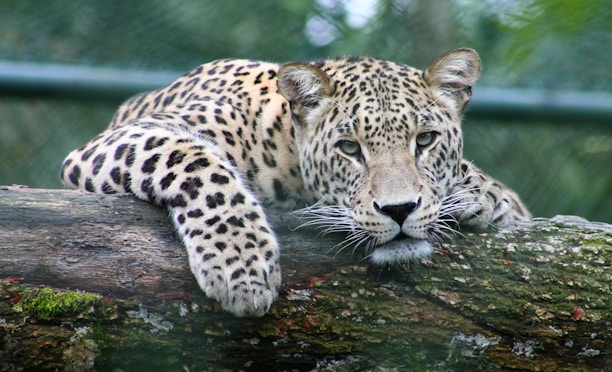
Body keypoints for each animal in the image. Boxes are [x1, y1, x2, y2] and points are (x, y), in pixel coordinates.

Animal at [61, 48, 532, 316]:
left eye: (426, 140)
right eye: (349, 148)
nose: (399, 210)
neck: (283, 146)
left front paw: (483, 194)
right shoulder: (117, 141)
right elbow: (196, 161)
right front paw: (242, 266)